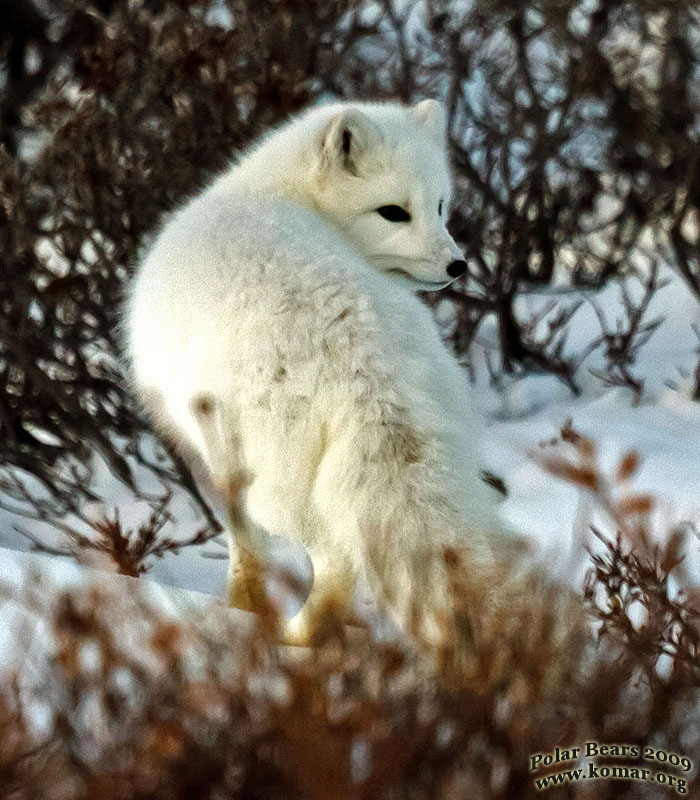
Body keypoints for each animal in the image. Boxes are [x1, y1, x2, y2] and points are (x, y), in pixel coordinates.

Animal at [123, 97, 512, 644]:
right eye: (395, 212)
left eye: (438, 205)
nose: (458, 265)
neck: (273, 190)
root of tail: (362, 360)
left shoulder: (209, 446)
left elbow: (242, 540)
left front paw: (242, 604)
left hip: (270, 477)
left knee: (334, 562)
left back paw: (293, 638)